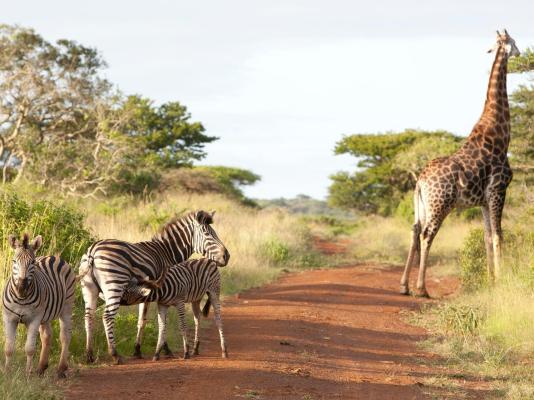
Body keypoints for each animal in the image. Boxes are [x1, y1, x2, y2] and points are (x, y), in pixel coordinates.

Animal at [1, 233, 75, 376]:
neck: (21, 299)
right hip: (45, 315)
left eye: (32, 262)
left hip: (67, 306)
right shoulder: (8, 318)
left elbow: (30, 348)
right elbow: (8, 347)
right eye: (14, 261)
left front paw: (27, 373)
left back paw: (61, 369)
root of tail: (53, 256)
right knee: (47, 336)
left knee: (65, 336)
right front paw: (6, 372)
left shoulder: (34, 319)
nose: (21, 287)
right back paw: (41, 368)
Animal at [79, 211, 230, 364]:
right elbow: (162, 322)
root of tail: (92, 250)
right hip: (115, 284)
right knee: (108, 317)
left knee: (88, 316)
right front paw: (166, 350)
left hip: (89, 289)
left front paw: (138, 350)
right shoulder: (162, 287)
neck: (166, 252)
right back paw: (115, 354)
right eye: (208, 234)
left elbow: (142, 321)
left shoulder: (147, 292)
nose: (227, 256)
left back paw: (89, 355)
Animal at [404, 29, 520, 296]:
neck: (499, 135)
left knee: (414, 231)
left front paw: (490, 280)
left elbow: (486, 236)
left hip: (422, 206)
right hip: (440, 205)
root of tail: (420, 181)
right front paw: (501, 280)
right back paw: (421, 288)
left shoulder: (484, 200)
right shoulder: (498, 190)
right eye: (514, 41)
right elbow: (498, 235)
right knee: (427, 235)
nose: (520, 53)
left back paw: (404, 285)